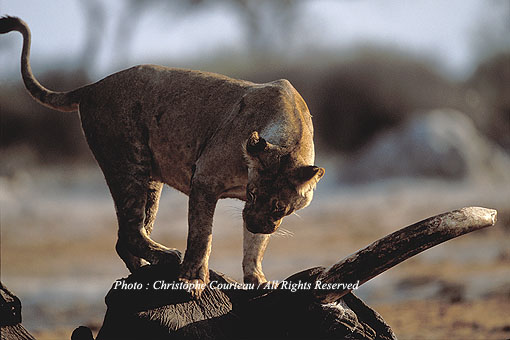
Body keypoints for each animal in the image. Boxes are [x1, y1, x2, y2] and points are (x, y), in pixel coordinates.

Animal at [0, 15, 324, 298]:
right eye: (253, 193)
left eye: (280, 205)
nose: (255, 223)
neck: (290, 134)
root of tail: (93, 86)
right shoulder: (205, 179)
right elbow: (202, 236)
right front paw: (192, 280)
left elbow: (256, 246)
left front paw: (257, 279)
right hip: (129, 161)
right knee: (130, 230)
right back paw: (167, 257)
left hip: (151, 181)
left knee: (127, 236)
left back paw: (143, 271)